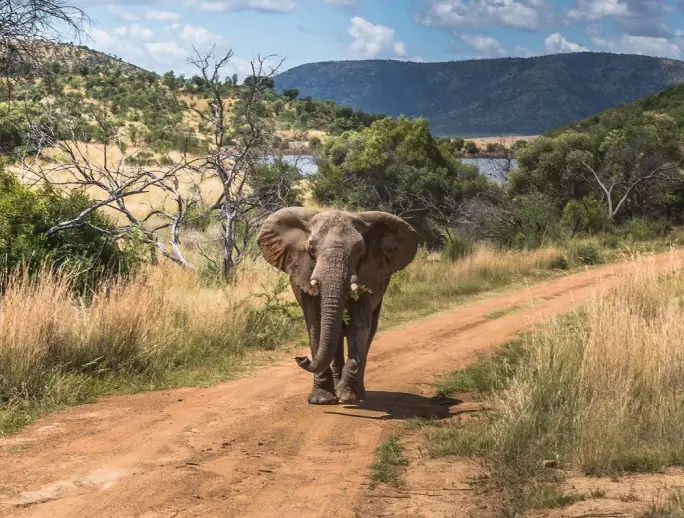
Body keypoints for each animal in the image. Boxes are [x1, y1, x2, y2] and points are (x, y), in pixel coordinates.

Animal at [256, 207, 416, 406]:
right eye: (311, 248)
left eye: (360, 250)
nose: (301, 358)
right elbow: (316, 325)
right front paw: (321, 400)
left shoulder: (368, 276)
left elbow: (359, 326)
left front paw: (348, 396)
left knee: (369, 332)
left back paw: (357, 393)